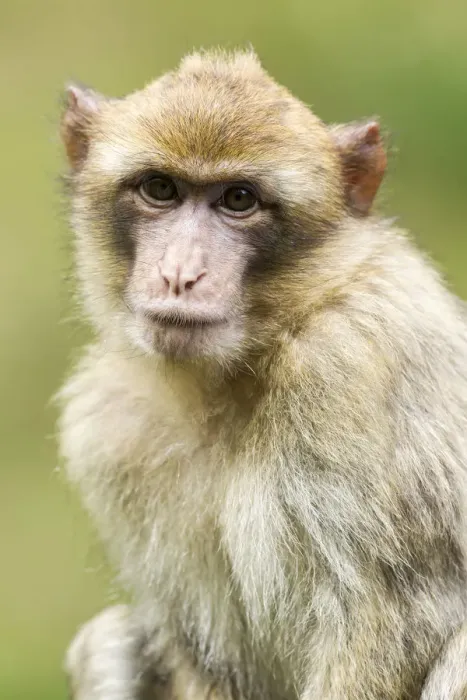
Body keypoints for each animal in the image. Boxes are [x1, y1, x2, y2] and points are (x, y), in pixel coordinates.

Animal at [58, 49, 467, 699]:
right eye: (160, 189)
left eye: (238, 200)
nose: (180, 274)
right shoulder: (111, 427)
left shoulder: (345, 368)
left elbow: (394, 620)